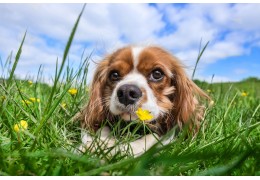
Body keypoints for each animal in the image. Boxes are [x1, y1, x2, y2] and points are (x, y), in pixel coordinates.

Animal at [76, 45, 209, 157]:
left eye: (157, 73)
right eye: (114, 74)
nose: (126, 92)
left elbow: (151, 138)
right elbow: (102, 129)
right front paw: (96, 145)